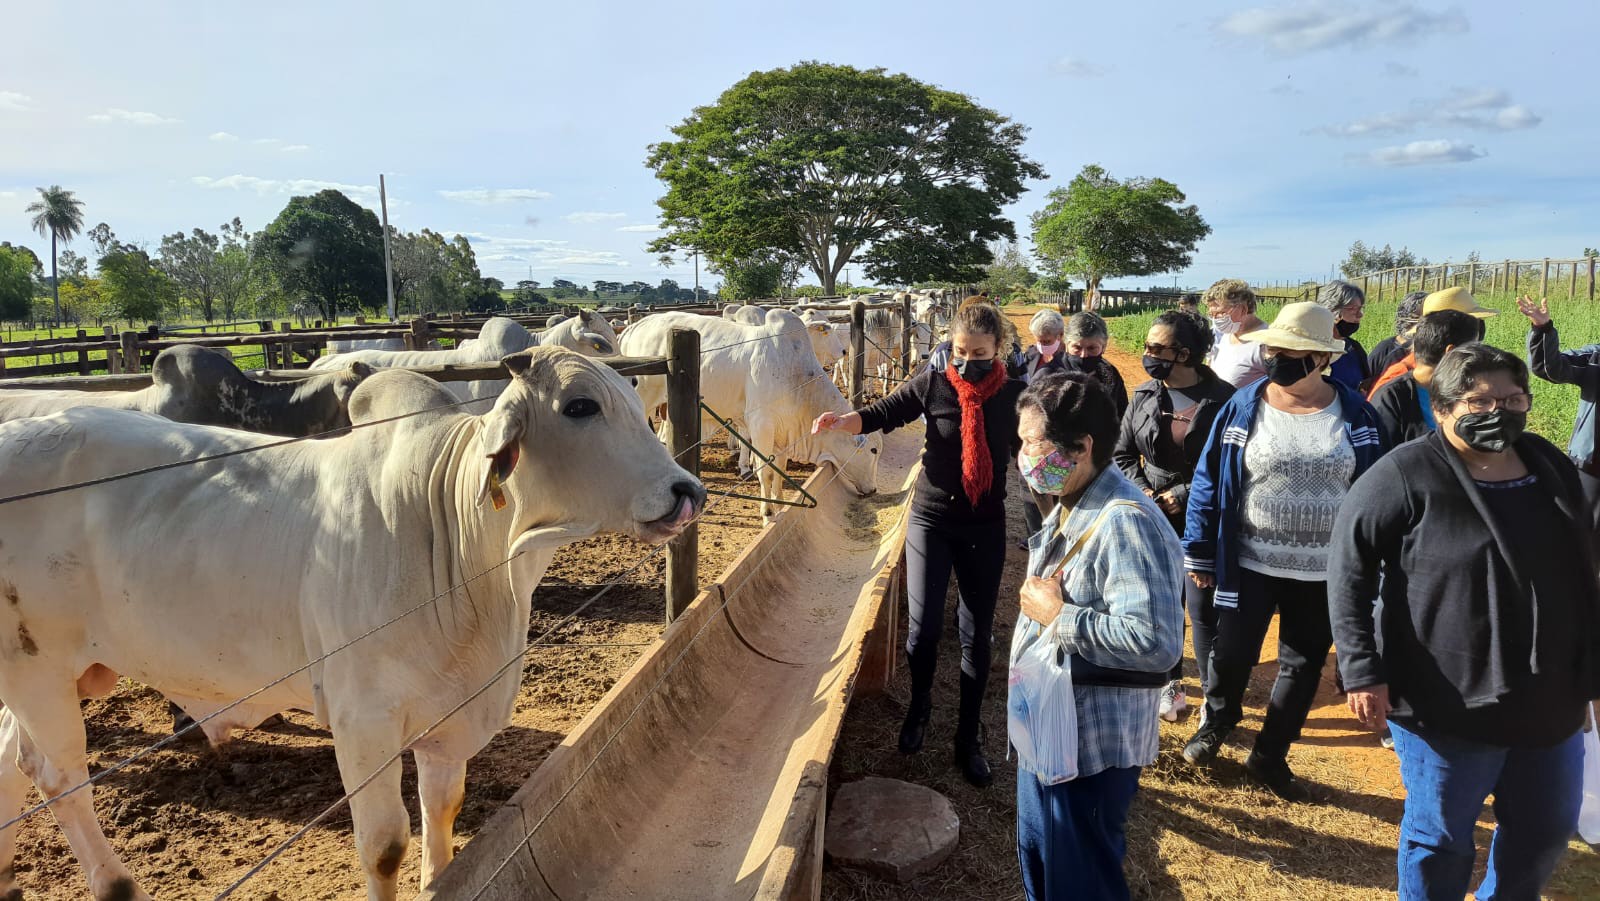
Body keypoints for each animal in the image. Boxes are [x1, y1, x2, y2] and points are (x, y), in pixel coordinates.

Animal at [0, 347, 700, 901]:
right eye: (580, 406)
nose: (686, 491)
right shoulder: (362, 720)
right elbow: (385, 846)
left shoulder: (450, 719)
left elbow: (443, 812)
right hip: (39, 672)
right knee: (60, 779)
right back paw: (116, 884)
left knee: (16, 761)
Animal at [617, 310, 883, 521]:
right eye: (873, 450)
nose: (873, 490)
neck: (798, 380)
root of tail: (635, 326)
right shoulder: (761, 425)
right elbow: (765, 471)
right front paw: (768, 513)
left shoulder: (783, 433)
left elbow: (780, 469)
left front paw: (779, 501)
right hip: (642, 396)